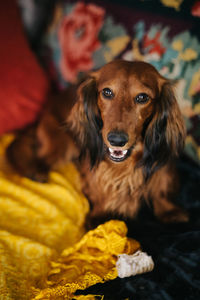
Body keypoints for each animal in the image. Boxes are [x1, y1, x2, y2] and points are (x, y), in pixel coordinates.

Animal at [6, 59, 188, 225]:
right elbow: (100, 191)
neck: (124, 167)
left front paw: (169, 211)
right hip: (63, 143)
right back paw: (37, 171)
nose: (116, 140)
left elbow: (161, 188)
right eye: (107, 92)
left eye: (142, 97)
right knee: (42, 158)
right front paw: (100, 214)